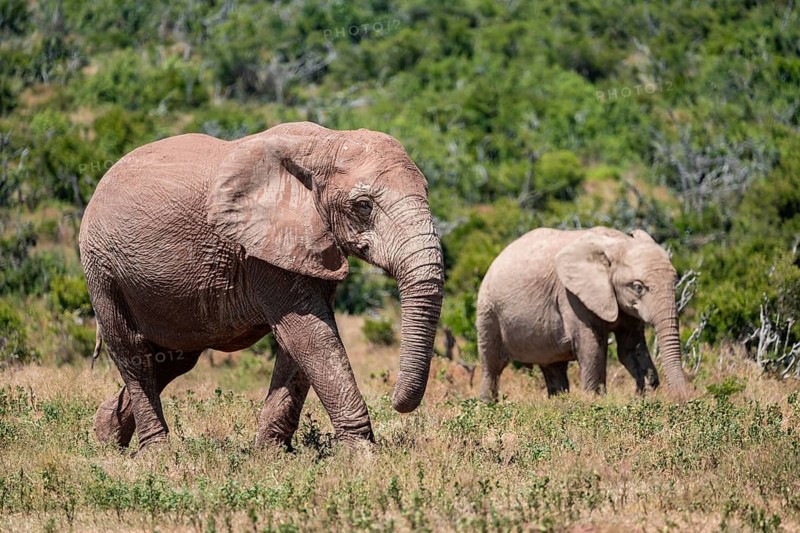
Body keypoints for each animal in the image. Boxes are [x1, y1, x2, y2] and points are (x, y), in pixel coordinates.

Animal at [79, 121, 444, 450]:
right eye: (363, 205)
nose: (395, 399)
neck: (325, 143)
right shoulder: (260, 250)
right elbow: (311, 335)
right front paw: (363, 457)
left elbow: (298, 342)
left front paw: (271, 455)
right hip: (102, 268)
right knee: (132, 353)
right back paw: (157, 452)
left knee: (174, 359)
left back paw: (106, 434)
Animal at [477, 227, 690, 401]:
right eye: (638, 287)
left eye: (675, 282)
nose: (681, 400)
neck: (617, 242)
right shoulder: (571, 297)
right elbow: (592, 348)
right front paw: (596, 403)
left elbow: (630, 348)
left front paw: (647, 394)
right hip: (488, 311)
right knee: (492, 365)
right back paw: (488, 407)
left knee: (554, 368)